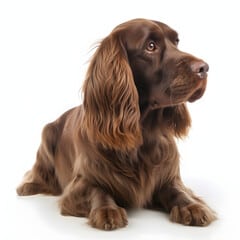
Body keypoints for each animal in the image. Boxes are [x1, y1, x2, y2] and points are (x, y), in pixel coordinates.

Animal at [16, 18, 216, 229]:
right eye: (150, 46)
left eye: (176, 42)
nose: (204, 68)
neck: (142, 133)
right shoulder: (81, 183)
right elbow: (98, 190)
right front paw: (107, 210)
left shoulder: (168, 177)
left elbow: (178, 191)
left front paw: (191, 206)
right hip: (46, 135)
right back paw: (27, 186)